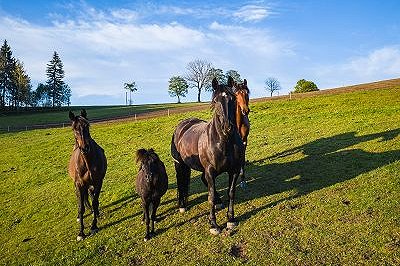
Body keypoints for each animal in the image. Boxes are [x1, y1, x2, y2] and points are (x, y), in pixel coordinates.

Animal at [68, 109, 107, 240]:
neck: (87, 162)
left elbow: (94, 202)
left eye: (87, 126)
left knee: (91, 195)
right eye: (74, 128)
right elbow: (81, 207)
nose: (85, 148)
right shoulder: (79, 184)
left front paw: (94, 226)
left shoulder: (98, 182)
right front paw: (81, 233)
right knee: (80, 198)